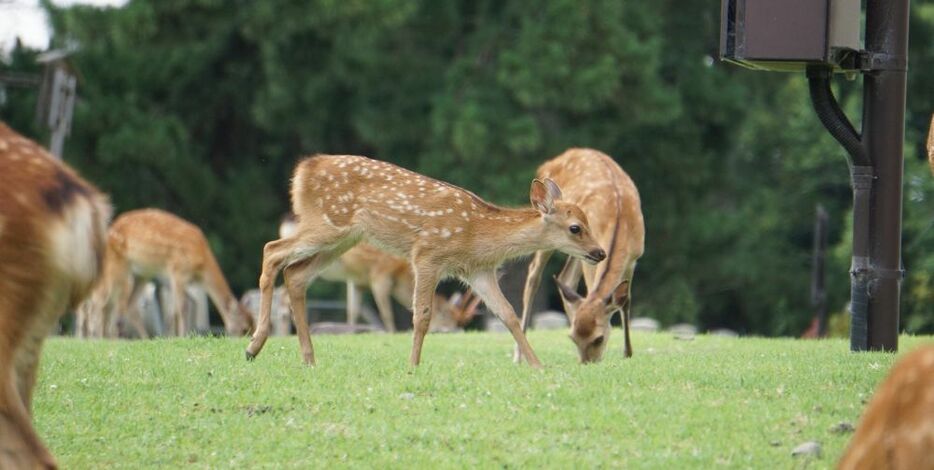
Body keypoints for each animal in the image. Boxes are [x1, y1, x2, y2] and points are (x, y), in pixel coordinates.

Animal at [78, 209, 254, 338]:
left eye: (253, 326)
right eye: (244, 328)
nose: (245, 338)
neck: (201, 264)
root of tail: (110, 230)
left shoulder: (171, 280)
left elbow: (179, 307)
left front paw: (175, 335)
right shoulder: (178, 270)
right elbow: (182, 306)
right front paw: (182, 336)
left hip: (141, 275)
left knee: (125, 304)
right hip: (117, 267)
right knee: (100, 303)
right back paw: (97, 338)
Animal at [280, 215, 482, 332]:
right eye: (447, 315)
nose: (454, 330)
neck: (401, 273)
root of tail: (286, 223)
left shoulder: (358, 281)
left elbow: (353, 310)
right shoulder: (380, 275)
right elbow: (386, 312)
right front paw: (391, 333)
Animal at [516, 148, 648, 364]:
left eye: (599, 338)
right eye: (572, 338)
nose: (587, 363)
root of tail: (550, 162)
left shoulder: (633, 258)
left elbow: (626, 300)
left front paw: (628, 353)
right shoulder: (593, 257)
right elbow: (593, 288)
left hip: (578, 251)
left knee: (565, 278)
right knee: (533, 275)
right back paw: (518, 355)